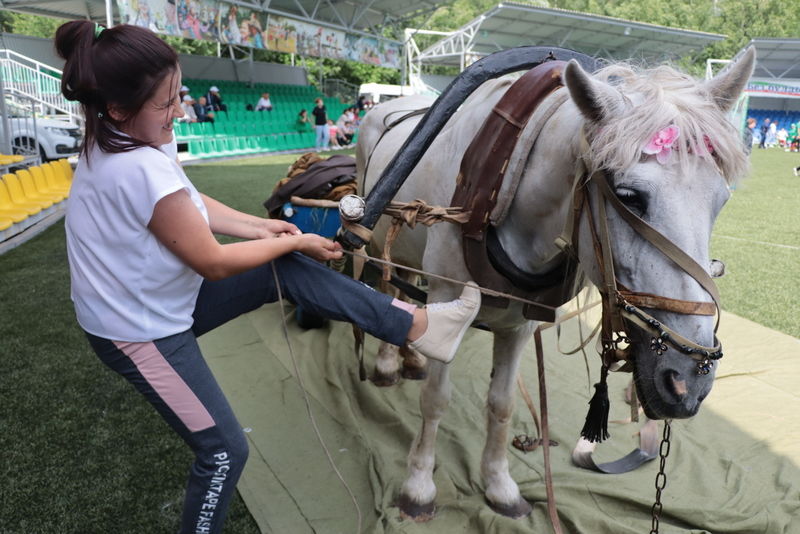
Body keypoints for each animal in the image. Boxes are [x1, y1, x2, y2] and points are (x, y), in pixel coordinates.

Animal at [356, 49, 756, 520]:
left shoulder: (519, 322)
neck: (504, 185)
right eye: (629, 196)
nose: (690, 379)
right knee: (389, 290)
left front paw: (499, 485)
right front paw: (419, 485)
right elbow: (436, 398)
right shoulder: (447, 295)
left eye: (721, 201)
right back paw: (387, 365)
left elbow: (502, 403)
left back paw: (411, 359)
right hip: (380, 242)